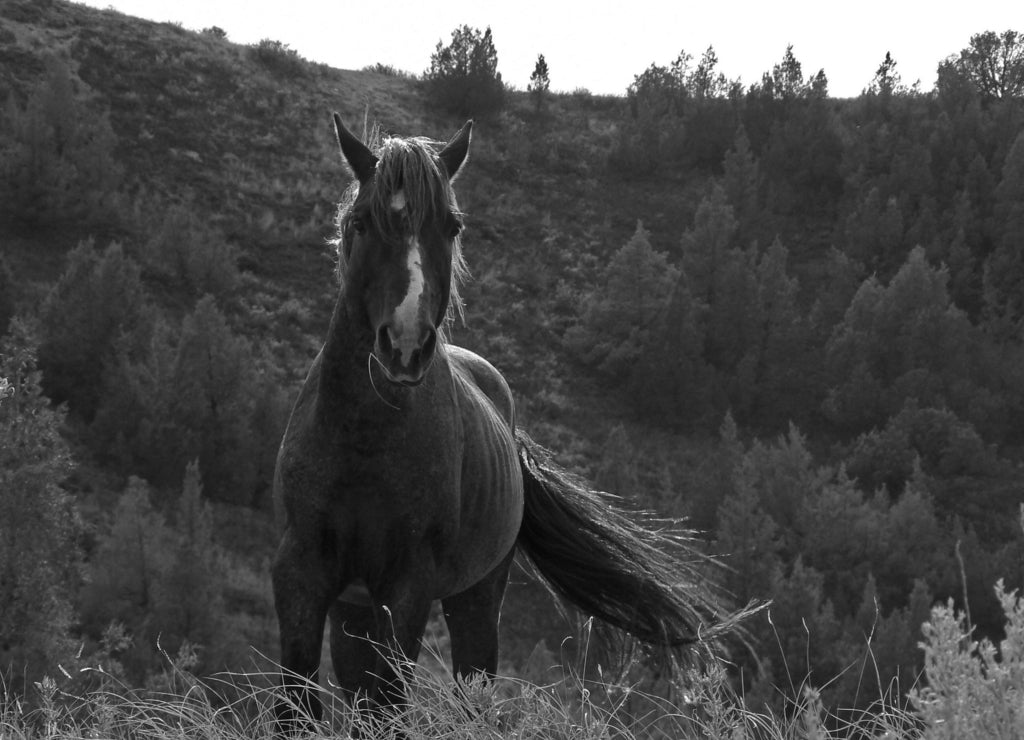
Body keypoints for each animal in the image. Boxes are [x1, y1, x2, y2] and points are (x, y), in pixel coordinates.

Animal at [271, 114, 745, 727]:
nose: (405, 345)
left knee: (468, 690)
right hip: (354, 613)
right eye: (360, 222)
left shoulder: (406, 591)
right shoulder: (302, 579)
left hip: (473, 599)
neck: (362, 442)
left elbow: (391, 704)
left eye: (451, 226)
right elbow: (297, 704)